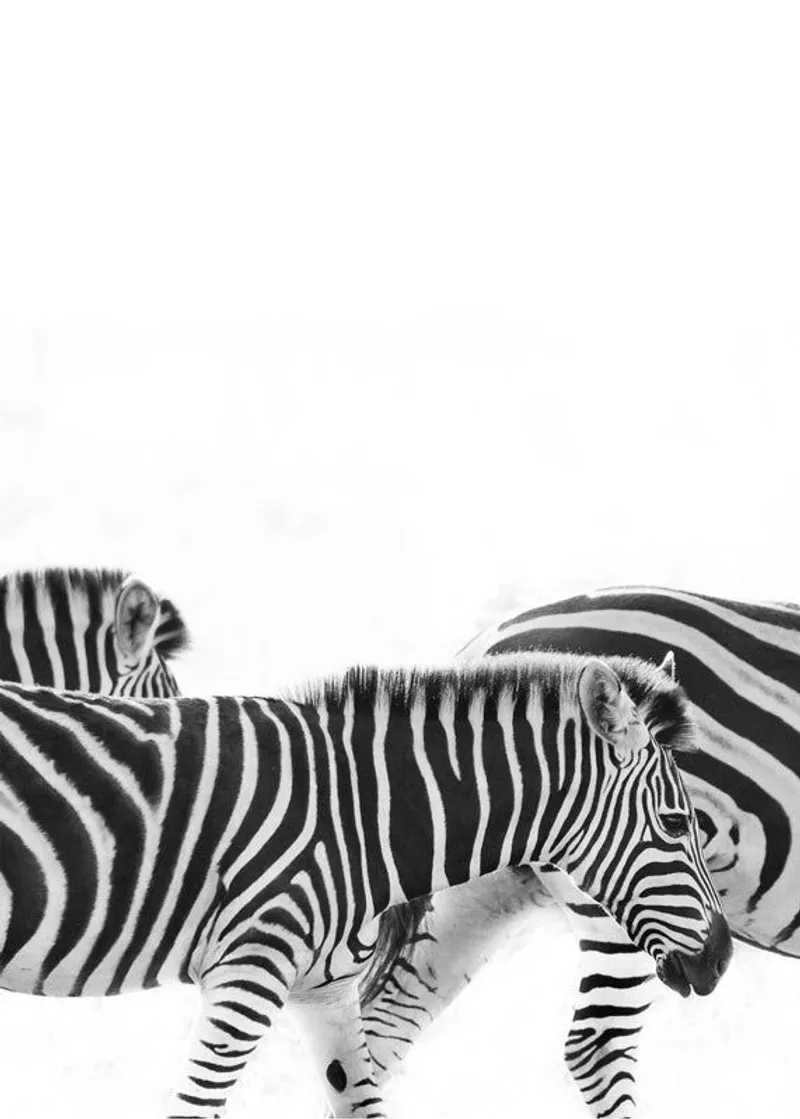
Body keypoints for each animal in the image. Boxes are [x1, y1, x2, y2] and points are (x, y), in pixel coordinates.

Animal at [0, 652, 731, 1118]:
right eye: (677, 822)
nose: (722, 958)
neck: (360, 818)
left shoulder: (321, 991)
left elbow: (362, 1102)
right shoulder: (248, 971)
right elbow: (195, 1107)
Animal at [361, 586, 800, 1118]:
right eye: (677, 821)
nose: (719, 957)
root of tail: (483, 651)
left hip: (484, 886)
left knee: (382, 1027)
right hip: (618, 905)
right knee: (597, 1045)